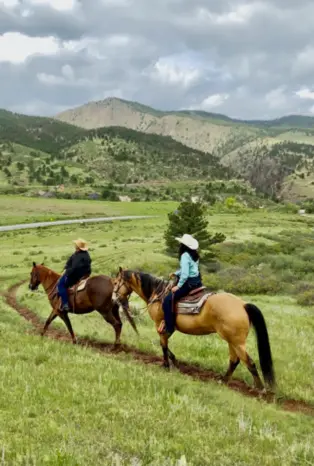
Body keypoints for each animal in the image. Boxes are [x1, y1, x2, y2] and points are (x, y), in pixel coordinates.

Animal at [112, 268, 274, 392]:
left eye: (115, 282)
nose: (114, 299)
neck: (157, 293)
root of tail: (242, 305)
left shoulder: (160, 324)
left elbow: (163, 344)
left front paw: (166, 365)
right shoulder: (168, 327)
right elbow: (165, 344)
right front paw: (174, 361)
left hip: (236, 342)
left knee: (250, 362)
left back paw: (260, 389)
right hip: (231, 341)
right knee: (235, 360)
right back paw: (223, 380)